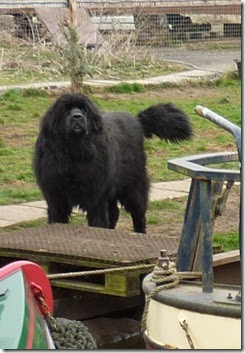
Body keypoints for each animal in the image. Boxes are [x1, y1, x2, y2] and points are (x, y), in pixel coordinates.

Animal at [33, 92, 192, 232]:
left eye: (84, 109)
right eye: (66, 110)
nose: (77, 116)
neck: (74, 151)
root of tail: (137, 120)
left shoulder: (97, 196)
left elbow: (98, 221)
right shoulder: (55, 197)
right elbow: (56, 219)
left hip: (133, 187)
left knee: (138, 215)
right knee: (114, 213)